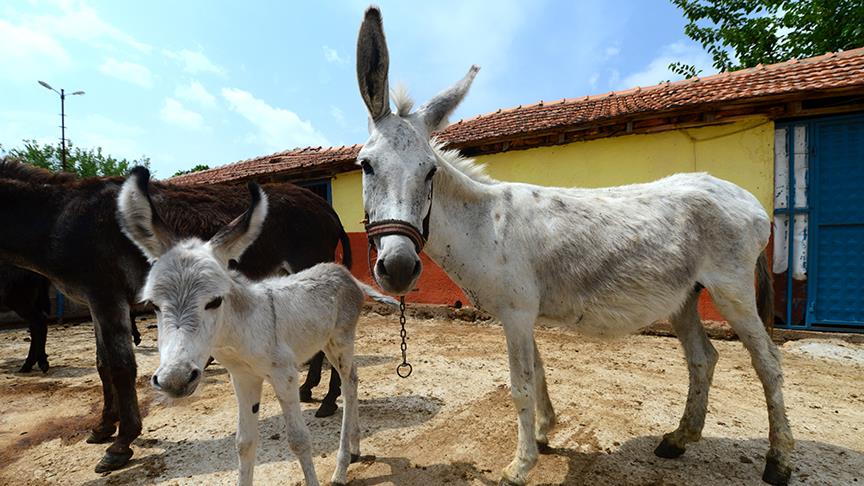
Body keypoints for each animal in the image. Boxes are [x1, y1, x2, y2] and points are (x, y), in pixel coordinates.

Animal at [118, 175, 388, 486]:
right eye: (153, 305)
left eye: (215, 301)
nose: (175, 380)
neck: (241, 331)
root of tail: (344, 273)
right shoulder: (243, 378)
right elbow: (244, 443)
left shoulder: (285, 376)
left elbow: (299, 440)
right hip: (327, 342)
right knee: (353, 377)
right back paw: (354, 448)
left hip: (340, 341)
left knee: (348, 380)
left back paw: (341, 465)